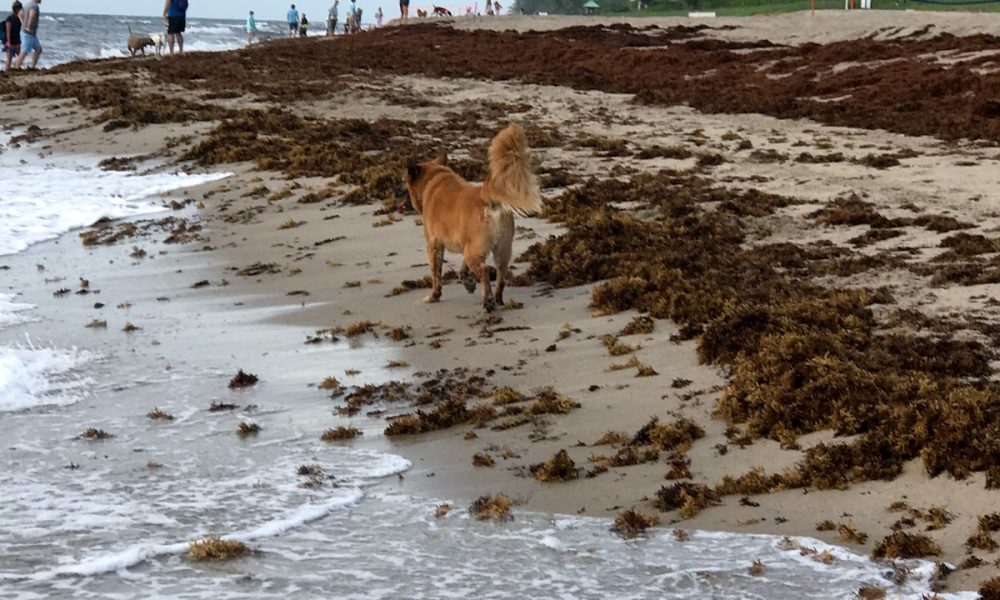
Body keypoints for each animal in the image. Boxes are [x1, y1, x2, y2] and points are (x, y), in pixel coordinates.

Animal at [404, 123, 544, 312]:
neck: (434, 180)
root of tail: (486, 196)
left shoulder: (434, 245)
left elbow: (436, 274)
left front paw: (434, 296)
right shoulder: (468, 245)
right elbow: (463, 270)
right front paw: (468, 283)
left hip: (476, 252)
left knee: (484, 271)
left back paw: (488, 302)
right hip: (499, 249)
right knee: (500, 275)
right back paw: (498, 299)